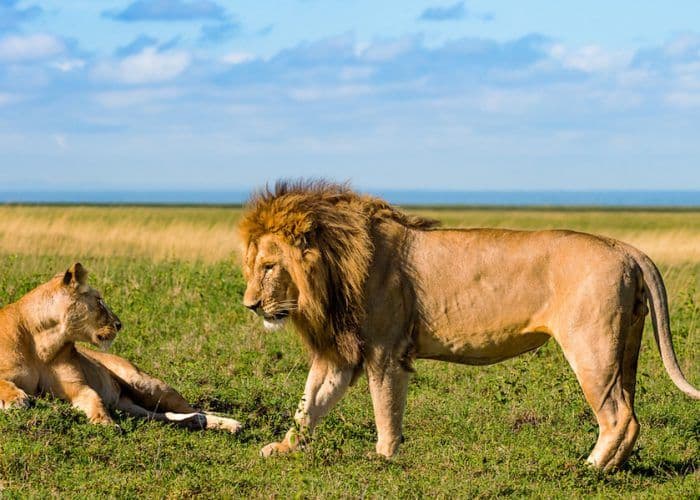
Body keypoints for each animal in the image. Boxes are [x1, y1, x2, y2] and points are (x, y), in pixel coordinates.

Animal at [0, 263, 241, 433]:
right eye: (99, 301)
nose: (119, 324)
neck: (45, 344)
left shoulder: (76, 387)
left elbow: (94, 399)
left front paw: (105, 423)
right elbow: (4, 382)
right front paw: (16, 399)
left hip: (146, 383)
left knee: (191, 408)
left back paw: (230, 424)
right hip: (134, 408)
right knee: (166, 415)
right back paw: (196, 422)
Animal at [238, 180, 699, 470]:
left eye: (269, 266)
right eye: (251, 265)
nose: (250, 305)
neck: (335, 268)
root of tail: (625, 247)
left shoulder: (386, 351)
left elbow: (385, 408)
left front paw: (383, 458)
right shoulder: (341, 352)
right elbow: (309, 403)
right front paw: (283, 447)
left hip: (591, 348)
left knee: (619, 416)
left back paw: (588, 469)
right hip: (626, 347)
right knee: (631, 412)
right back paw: (612, 468)